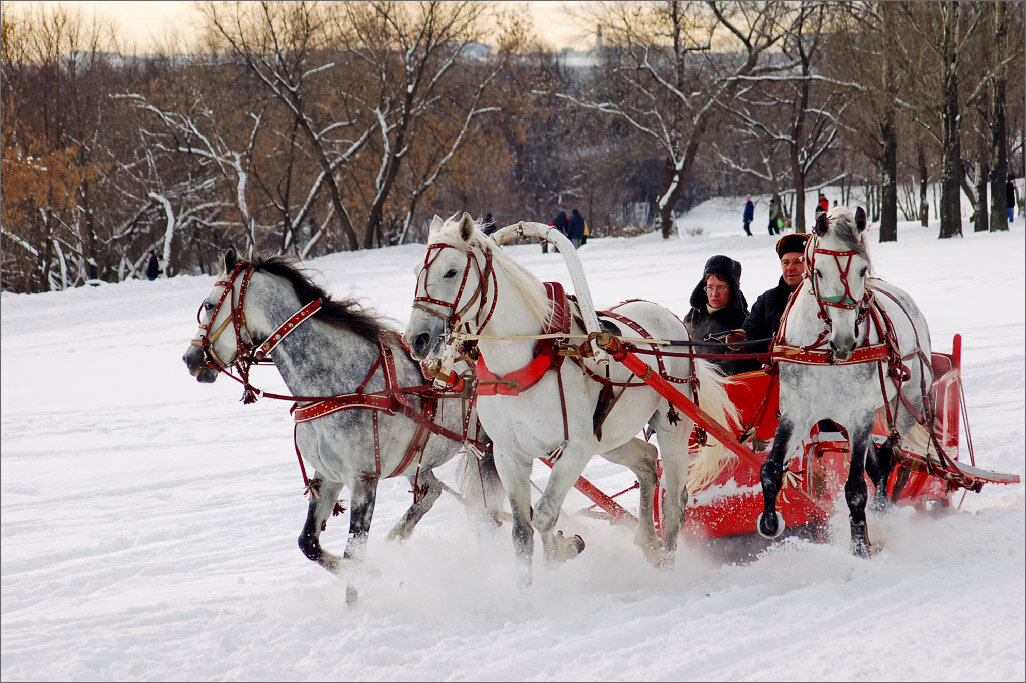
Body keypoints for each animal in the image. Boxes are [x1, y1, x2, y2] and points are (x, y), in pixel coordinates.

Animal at [186, 247, 506, 598]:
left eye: (209, 305)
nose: (190, 359)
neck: (337, 385)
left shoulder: (364, 479)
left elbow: (353, 555)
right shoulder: (327, 475)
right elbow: (309, 544)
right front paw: (378, 573)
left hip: (489, 450)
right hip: (418, 462)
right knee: (434, 494)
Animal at [402, 213, 738, 578]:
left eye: (451, 271)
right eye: (416, 271)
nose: (416, 339)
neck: (520, 367)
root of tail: (672, 321)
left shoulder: (576, 450)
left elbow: (545, 515)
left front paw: (562, 550)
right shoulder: (509, 455)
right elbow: (522, 531)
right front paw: (526, 585)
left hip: (670, 427)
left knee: (675, 500)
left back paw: (665, 562)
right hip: (612, 437)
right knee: (648, 461)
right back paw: (648, 541)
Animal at [755, 206, 939, 553]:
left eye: (863, 269)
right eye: (819, 271)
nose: (844, 340)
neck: (826, 355)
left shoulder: (860, 414)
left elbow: (855, 488)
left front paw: (860, 546)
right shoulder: (798, 411)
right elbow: (770, 468)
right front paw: (771, 522)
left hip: (906, 403)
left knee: (890, 457)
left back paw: (881, 511)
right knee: (877, 462)